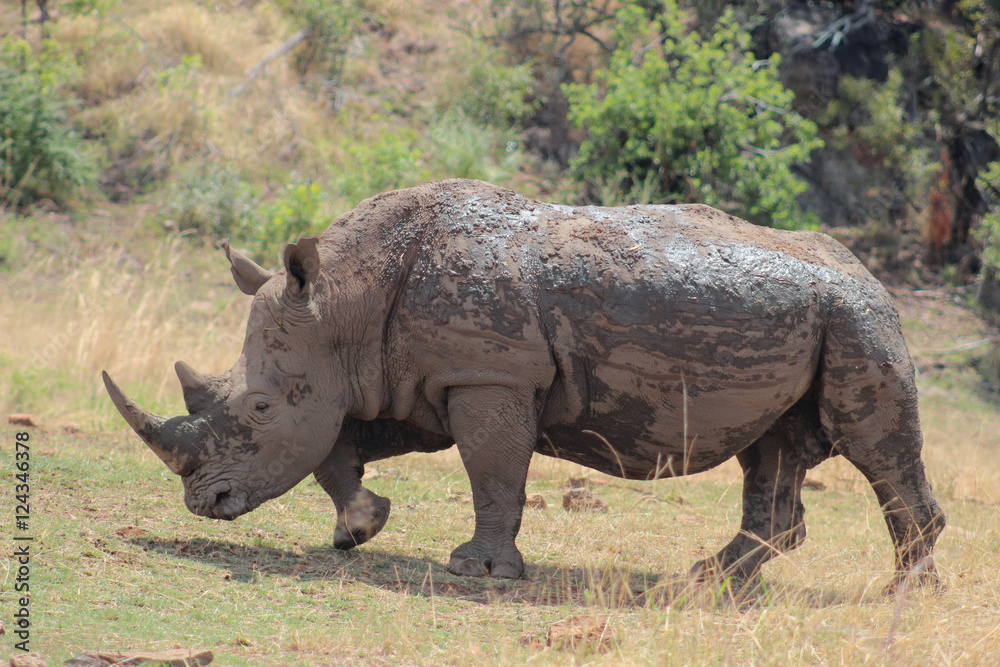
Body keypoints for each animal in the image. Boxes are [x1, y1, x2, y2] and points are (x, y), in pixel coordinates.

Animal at [103, 179, 944, 590]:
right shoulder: (410, 376)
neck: (344, 299)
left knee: (874, 447)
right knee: (772, 448)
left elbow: (494, 472)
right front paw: (359, 528)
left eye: (259, 406)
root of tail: (871, 272)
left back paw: (904, 594)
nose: (203, 502)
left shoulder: (488, 374)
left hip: (861, 319)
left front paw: (478, 571)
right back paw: (710, 582)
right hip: (818, 319)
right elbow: (337, 448)